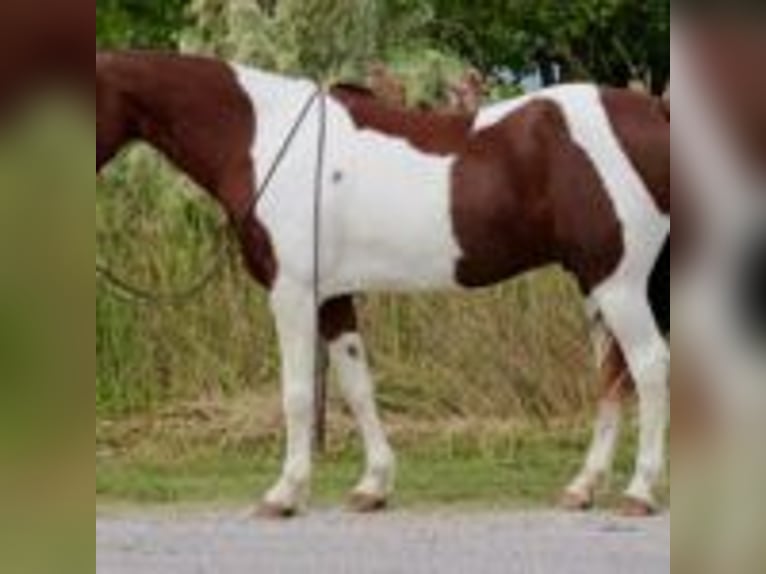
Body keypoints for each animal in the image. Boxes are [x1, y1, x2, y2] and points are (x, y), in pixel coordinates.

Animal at [96, 50, 670, 517]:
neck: (263, 137)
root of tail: (655, 114)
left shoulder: (292, 293)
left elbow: (298, 393)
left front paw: (284, 493)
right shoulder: (332, 297)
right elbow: (356, 385)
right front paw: (372, 486)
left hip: (619, 283)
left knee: (648, 367)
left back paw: (639, 493)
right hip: (595, 284)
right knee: (612, 376)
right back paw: (582, 487)